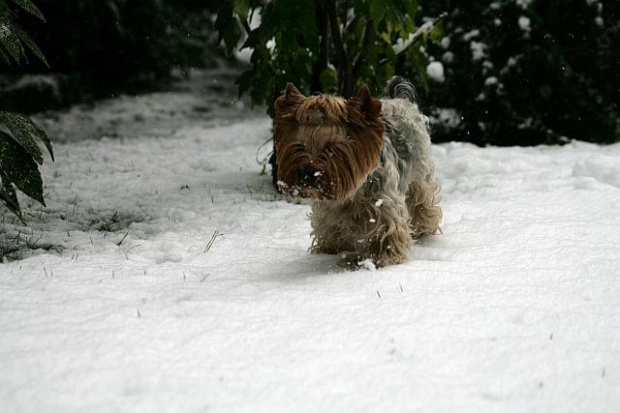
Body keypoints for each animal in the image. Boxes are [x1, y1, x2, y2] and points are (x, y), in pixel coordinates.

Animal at [272, 77, 440, 268]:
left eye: (332, 149)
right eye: (300, 146)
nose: (308, 174)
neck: (351, 193)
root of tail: (397, 99)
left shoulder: (384, 205)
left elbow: (387, 232)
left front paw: (378, 258)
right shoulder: (327, 209)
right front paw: (330, 249)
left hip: (420, 170)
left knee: (421, 200)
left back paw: (423, 229)